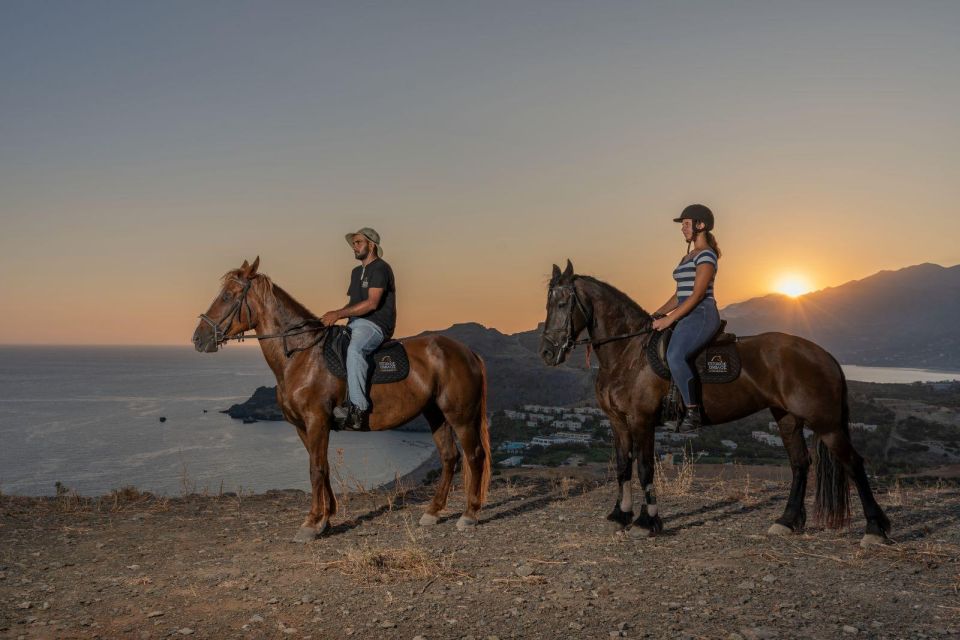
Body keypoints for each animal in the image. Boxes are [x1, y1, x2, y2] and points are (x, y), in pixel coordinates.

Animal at [196, 256, 496, 540]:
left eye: (227, 295)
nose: (199, 338)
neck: (301, 355)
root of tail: (467, 352)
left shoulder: (316, 421)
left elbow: (316, 469)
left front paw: (311, 524)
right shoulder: (302, 426)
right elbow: (323, 467)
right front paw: (326, 519)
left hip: (461, 416)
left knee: (474, 456)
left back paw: (469, 515)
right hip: (436, 414)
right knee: (449, 457)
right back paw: (432, 512)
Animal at [540, 260, 892, 544]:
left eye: (563, 302)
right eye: (547, 303)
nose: (546, 352)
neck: (628, 353)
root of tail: (824, 355)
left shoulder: (642, 420)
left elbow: (644, 467)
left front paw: (647, 522)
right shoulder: (617, 421)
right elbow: (623, 466)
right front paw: (620, 516)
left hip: (825, 422)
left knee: (853, 463)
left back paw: (875, 529)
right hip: (787, 417)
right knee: (800, 464)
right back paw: (787, 522)